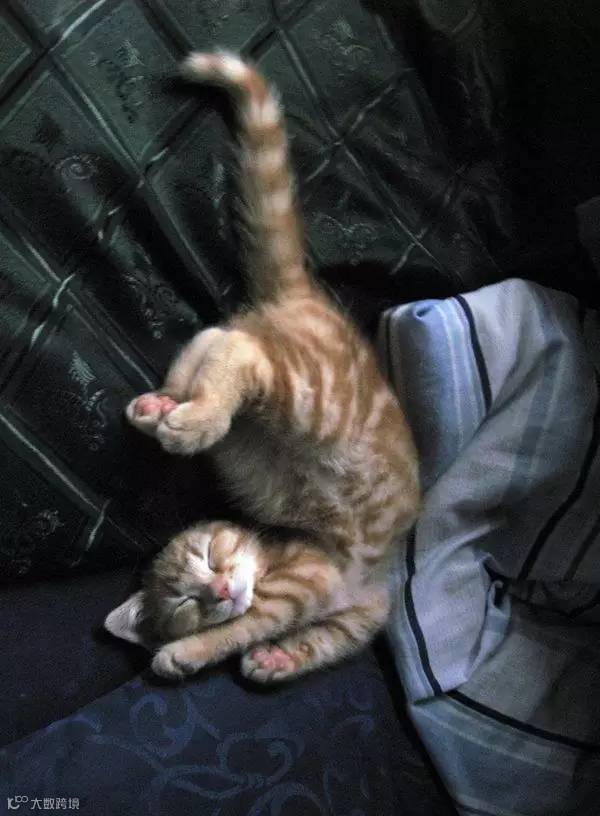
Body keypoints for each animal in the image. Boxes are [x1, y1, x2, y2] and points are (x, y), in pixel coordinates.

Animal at [104, 51, 420, 683]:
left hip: (310, 399)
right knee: (223, 340)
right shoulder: (329, 595)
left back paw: (181, 416)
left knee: (233, 349)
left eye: (209, 555)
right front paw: (265, 654)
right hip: (274, 418)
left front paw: (205, 653)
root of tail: (307, 297)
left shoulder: (314, 589)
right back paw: (164, 405)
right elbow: (302, 636)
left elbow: (261, 631)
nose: (223, 589)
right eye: (186, 600)